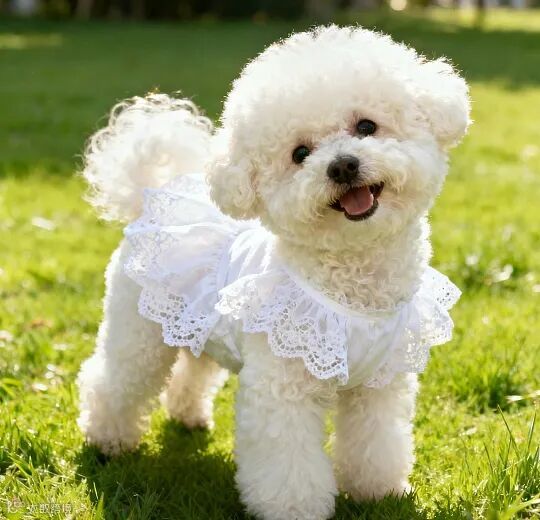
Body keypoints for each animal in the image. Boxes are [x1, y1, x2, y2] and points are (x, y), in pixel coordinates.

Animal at [77, 25, 470, 520]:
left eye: (366, 127)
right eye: (300, 153)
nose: (342, 165)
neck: (352, 284)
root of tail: (148, 196)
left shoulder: (378, 385)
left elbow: (376, 442)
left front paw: (377, 491)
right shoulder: (282, 390)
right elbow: (288, 463)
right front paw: (295, 509)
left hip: (194, 325)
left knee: (193, 369)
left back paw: (188, 416)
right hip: (138, 333)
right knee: (114, 380)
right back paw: (106, 441)